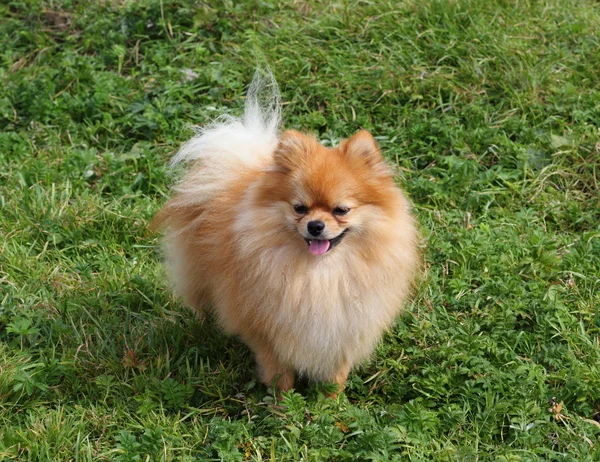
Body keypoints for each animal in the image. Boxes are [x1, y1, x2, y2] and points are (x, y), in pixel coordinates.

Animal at [155, 69, 418, 398]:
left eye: (341, 210)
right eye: (300, 208)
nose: (315, 226)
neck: (320, 274)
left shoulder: (344, 331)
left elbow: (335, 376)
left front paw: (330, 405)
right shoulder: (268, 334)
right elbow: (280, 374)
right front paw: (282, 405)